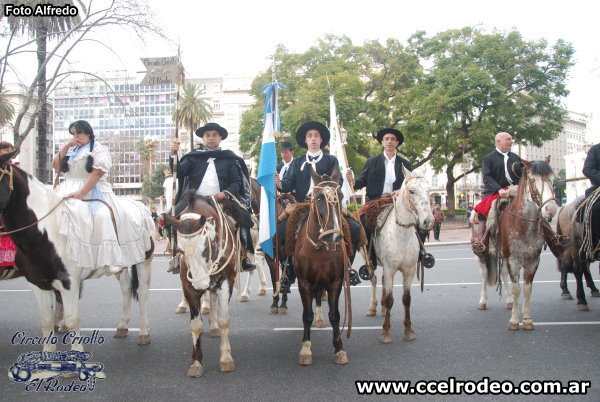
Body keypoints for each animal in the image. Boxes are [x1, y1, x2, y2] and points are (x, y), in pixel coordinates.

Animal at [0, 153, 152, 348]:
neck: (45, 232)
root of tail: (140, 205)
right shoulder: (37, 283)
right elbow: (46, 321)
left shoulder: (69, 283)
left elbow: (72, 320)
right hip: (124, 264)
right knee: (126, 289)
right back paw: (122, 326)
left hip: (143, 261)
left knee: (142, 293)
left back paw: (143, 332)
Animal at [165, 193, 240, 376]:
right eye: (181, 250)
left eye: (205, 248)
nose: (200, 283)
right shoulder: (189, 288)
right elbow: (196, 325)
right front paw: (196, 362)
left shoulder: (226, 283)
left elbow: (224, 320)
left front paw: (226, 358)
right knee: (210, 298)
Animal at [368, 166, 434, 342]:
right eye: (411, 190)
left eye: (429, 190)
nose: (428, 221)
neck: (402, 233)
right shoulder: (390, 269)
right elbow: (391, 299)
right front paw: (385, 332)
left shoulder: (409, 271)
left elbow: (406, 299)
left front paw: (409, 330)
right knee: (374, 280)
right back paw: (373, 307)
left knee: (382, 282)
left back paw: (383, 309)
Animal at [494, 157, 560, 330]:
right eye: (533, 180)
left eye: (552, 179)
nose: (551, 209)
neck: (524, 225)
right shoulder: (513, 260)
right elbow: (517, 288)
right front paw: (514, 320)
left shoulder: (533, 260)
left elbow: (528, 289)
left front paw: (528, 319)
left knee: (503, 274)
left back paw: (510, 301)